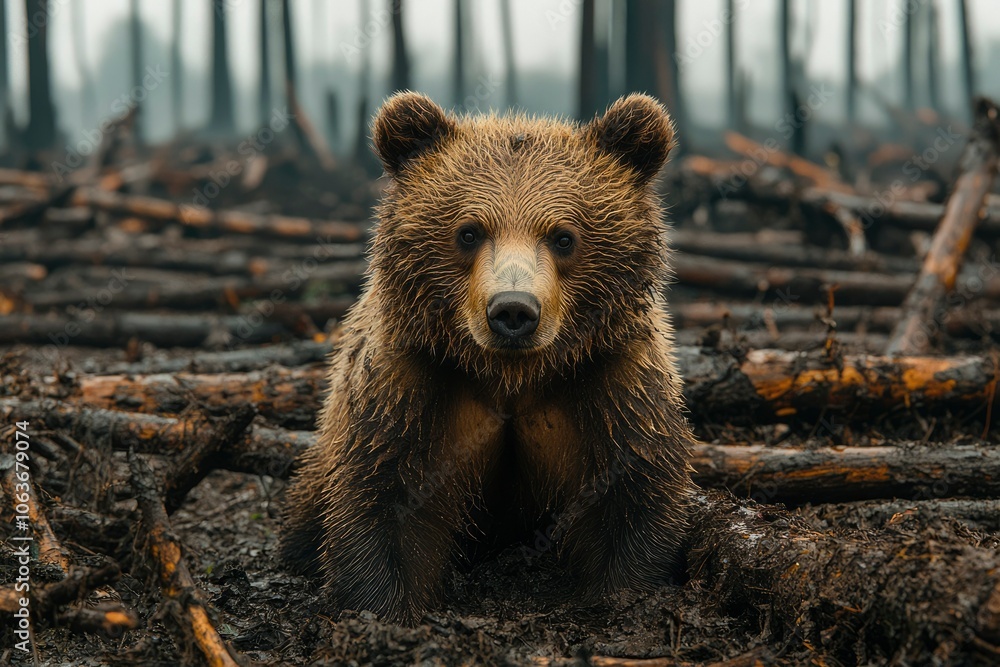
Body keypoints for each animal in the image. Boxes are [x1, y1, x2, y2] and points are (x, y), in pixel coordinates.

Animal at [281, 91, 697, 624]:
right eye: (469, 232)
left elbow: (634, 489)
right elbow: (384, 496)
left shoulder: (609, 378)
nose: (513, 310)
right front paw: (381, 609)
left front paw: (624, 595)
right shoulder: (412, 384)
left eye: (564, 236)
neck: (511, 376)